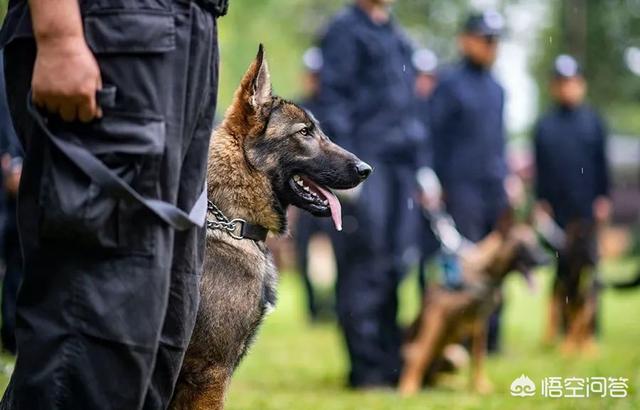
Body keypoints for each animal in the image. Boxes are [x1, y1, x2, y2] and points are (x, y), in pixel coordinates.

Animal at [400, 213, 544, 396]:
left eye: (536, 243)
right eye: (522, 245)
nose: (546, 259)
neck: (484, 273)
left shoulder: (480, 321)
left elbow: (478, 356)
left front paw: (480, 386)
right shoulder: (436, 316)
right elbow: (421, 353)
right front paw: (408, 388)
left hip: (458, 355)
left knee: (437, 379)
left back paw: (455, 384)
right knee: (422, 360)